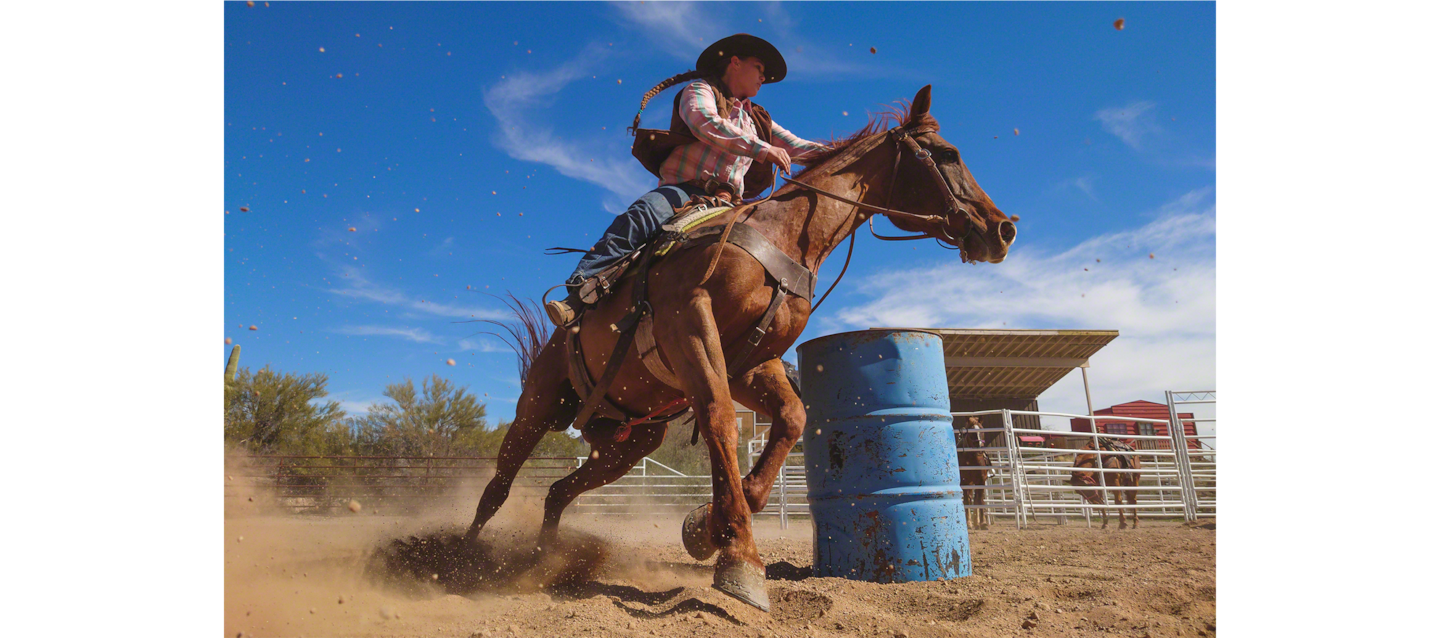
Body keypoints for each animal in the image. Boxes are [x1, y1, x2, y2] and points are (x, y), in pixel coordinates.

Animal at [466, 86, 1019, 613]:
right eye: (947, 153)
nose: (1003, 229)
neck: (785, 236)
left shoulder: (751, 363)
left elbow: (791, 418)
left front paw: (705, 528)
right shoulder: (689, 322)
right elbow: (719, 421)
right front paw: (740, 560)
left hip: (628, 443)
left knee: (558, 491)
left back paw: (544, 564)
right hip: (538, 405)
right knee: (497, 488)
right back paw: (463, 558)